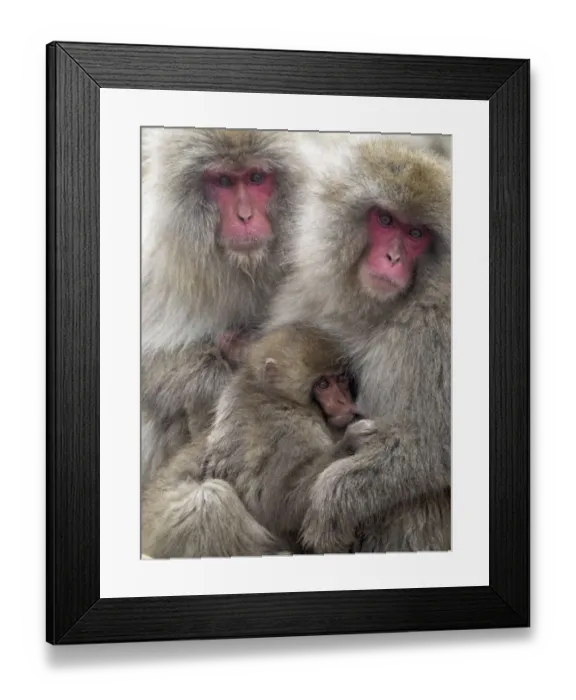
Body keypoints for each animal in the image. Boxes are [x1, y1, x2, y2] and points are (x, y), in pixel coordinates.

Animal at [266, 136, 452, 554]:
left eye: (416, 234)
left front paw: (331, 500)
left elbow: (434, 447)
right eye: (385, 220)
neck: (375, 309)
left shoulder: (435, 328)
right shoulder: (309, 298)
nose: (392, 257)